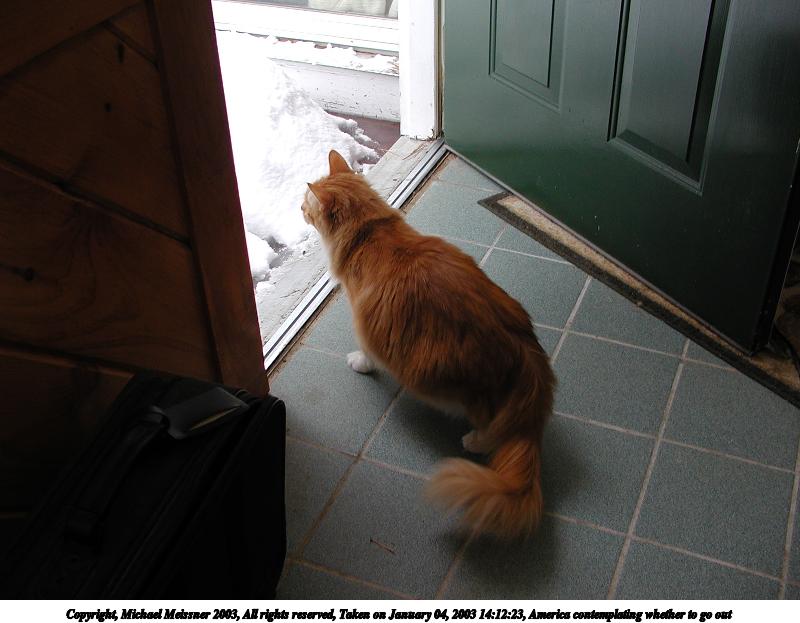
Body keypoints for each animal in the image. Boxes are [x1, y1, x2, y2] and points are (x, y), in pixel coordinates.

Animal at [302, 150, 556, 537]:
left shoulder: (365, 324)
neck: (368, 233)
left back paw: (473, 441)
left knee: (489, 429)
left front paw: (360, 364)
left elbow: (366, 353)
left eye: (305, 204)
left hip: (450, 385)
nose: (299, 208)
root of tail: (528, 357)